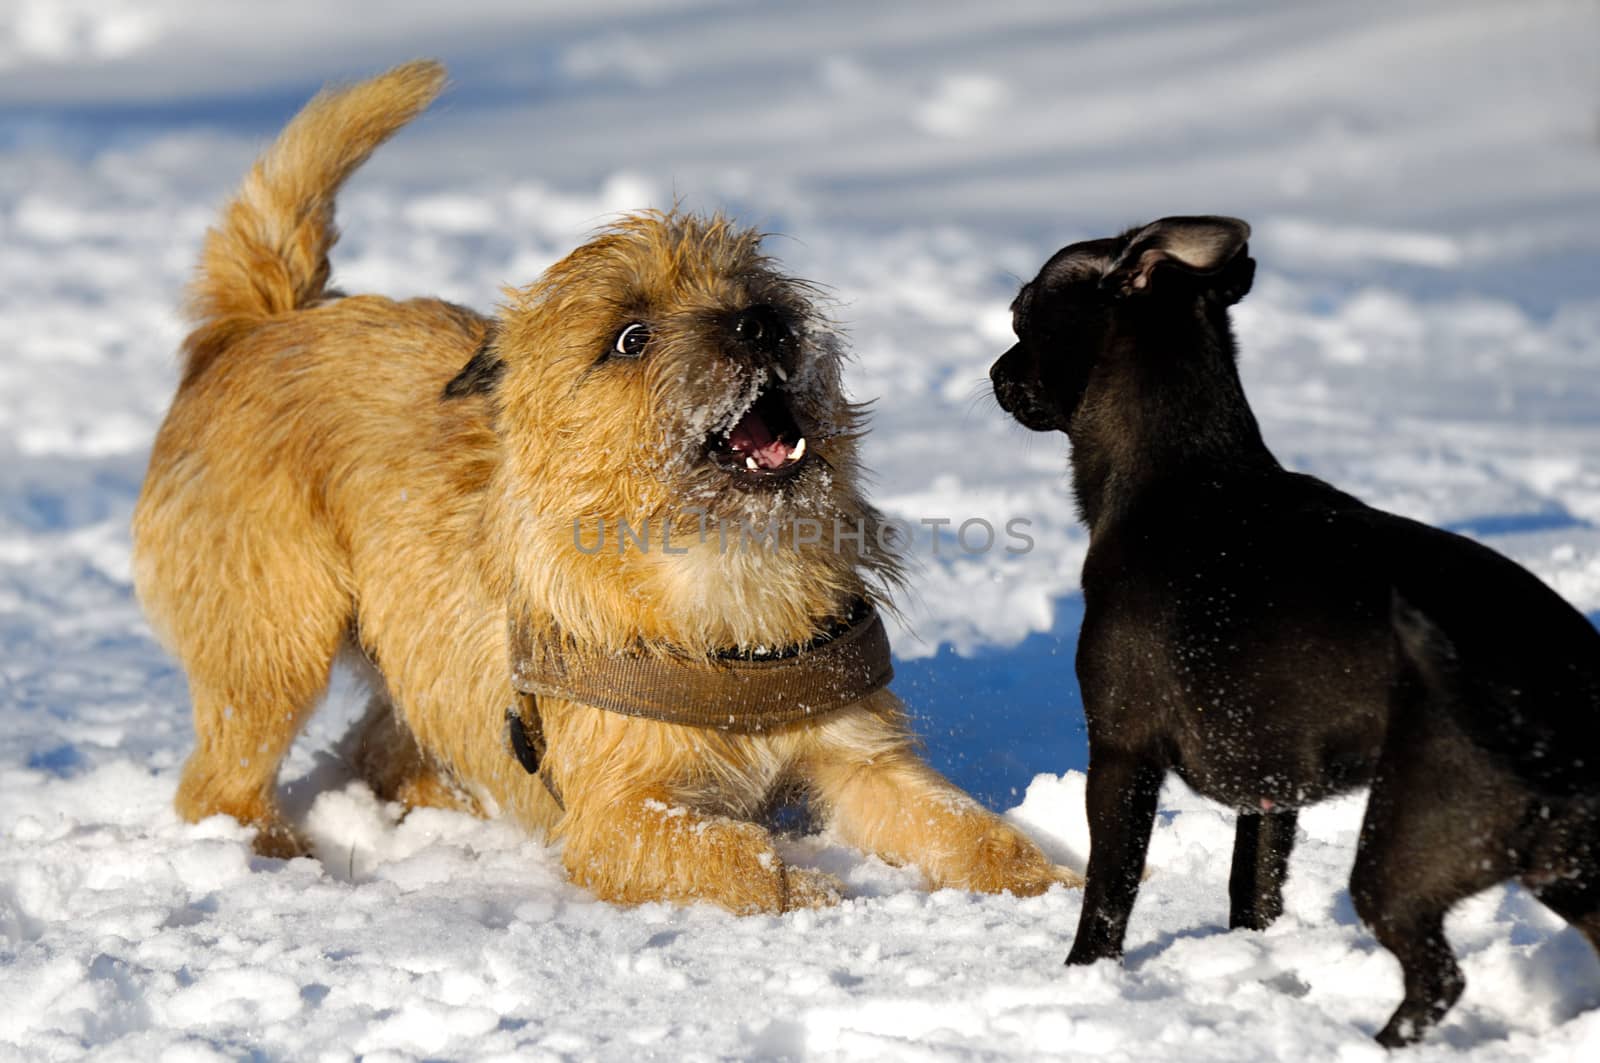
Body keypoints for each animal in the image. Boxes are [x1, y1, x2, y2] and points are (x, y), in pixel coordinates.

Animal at [128, 62, 1075, 915]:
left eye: (754, 286)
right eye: (630, 336)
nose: (762, 321)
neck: (726, 574)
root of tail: (261, 323)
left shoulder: (862, 755)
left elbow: (965, 828)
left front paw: (1053, 883)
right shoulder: (620, 811)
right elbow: (733, 855)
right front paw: (811, 889)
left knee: (381, 746)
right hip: (273, 640)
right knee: (220, 781)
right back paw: (273, 847)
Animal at [985, 217, 1600, 1043]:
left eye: (1022, 312)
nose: (996, 370)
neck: (1175, 472)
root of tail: (1558, 688)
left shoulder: (1121, 753)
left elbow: (1109, 891)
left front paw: (1081, 979)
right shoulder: (1272, 795)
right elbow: (1254, 890)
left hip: (1408, 846)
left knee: (1438, 974)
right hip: (1566, 865)